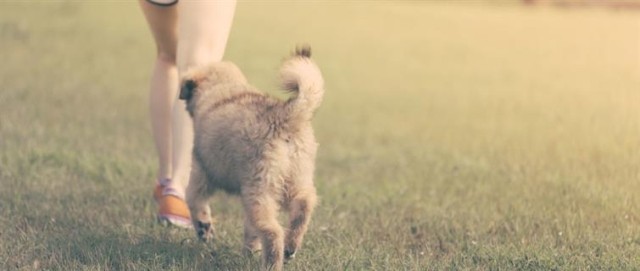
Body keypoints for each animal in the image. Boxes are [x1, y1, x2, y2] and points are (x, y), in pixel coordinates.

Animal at [179, 45, 320, 270]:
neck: (223, 88)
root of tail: (285, 117)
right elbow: (250, 230)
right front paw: (250, 252)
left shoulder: (201, 173)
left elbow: (194, 201)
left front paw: (204, 230)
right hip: (297, 178)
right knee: (304, 205)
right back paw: (291, 247)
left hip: (260, 189)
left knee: (272, 231)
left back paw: (272, 263)